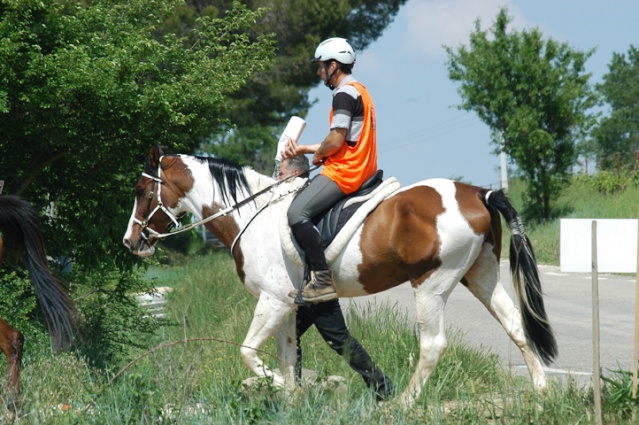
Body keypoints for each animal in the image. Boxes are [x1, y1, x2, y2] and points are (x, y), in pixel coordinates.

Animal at [124, 145, 556, 404]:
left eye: (142, 191)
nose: (131, 241)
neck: (251, 215)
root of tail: (480, 193)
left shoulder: (272, 301)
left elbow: (249, 353)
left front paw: (281, 389)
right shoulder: (287, 307)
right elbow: (288, 355)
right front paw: (292, 398)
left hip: (432, 285)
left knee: (433, 344)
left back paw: (403, 403)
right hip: (481, 275)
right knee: (515, 325)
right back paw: (541, 391)